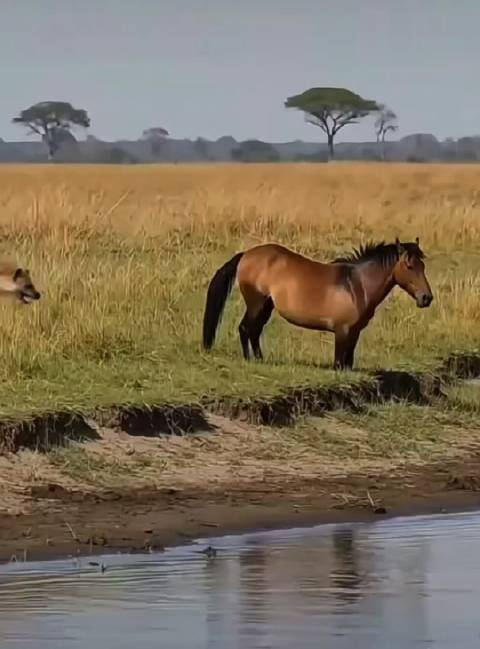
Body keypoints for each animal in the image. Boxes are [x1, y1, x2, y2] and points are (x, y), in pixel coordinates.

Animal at [202, 238, 433, 370]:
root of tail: (246, 255)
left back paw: (260, 359)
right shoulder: (342, 331)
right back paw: (249, 360)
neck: (356, 285)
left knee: (254, 331)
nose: (426, 298)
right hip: (256, 303)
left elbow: (348, 363)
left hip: (266, 305)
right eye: (410, 266)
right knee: (245, 328)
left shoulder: (354, 332)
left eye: (423, 266)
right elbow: (338, 363)